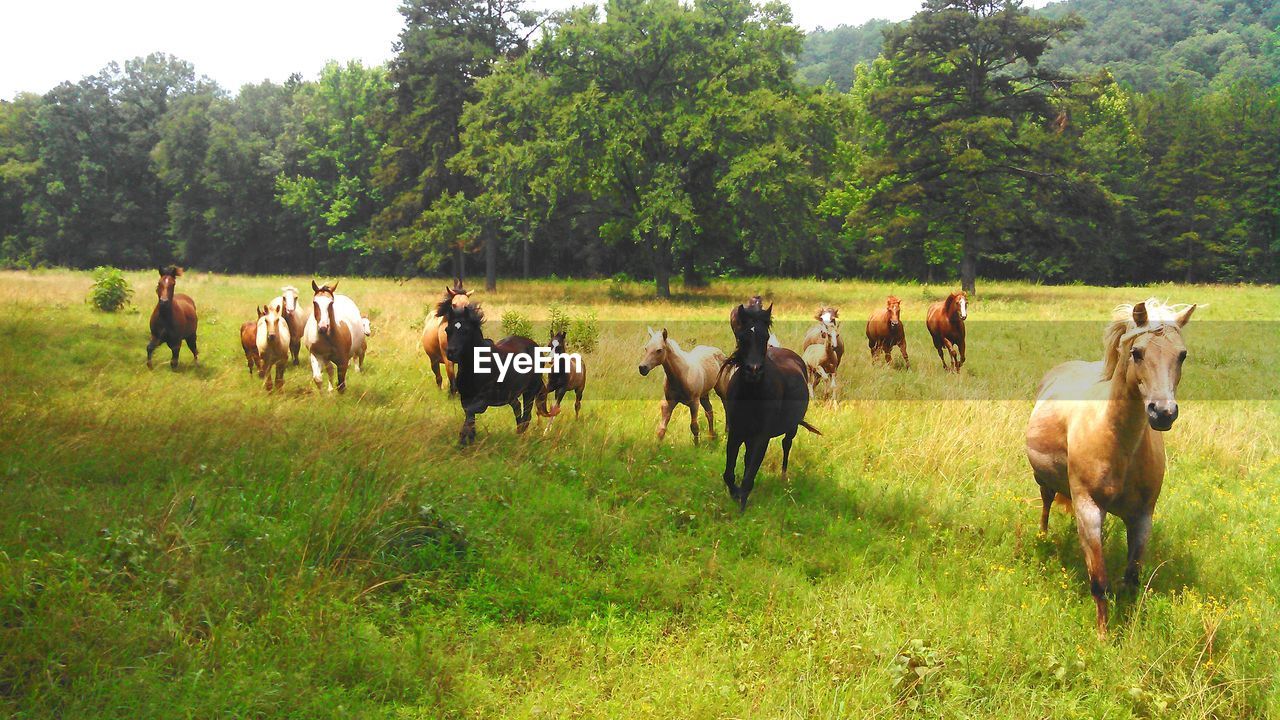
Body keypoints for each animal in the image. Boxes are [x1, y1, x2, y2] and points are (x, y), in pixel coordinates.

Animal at [437, 298, 552, 443]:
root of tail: (534, 345)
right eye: (447, 330)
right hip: (510, 394)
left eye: (466, 330)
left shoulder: (483, 399)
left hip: (529, 391)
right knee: (517, 408)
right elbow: (470, 417)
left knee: (526, 416)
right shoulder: (465, 397)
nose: (451, 353)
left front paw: (464, 438)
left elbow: (471, 413)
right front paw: (467, 439)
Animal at [721, 302, 819, 509]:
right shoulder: (736, 432)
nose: (753, 371)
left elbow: (748, 477)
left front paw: (741, 505)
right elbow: (729, 473)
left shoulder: (761, 437)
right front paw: (735, 494)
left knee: (786, 445)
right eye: (741, 337)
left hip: (791, 428)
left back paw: (783, 476)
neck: (752, 395)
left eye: (765, 337)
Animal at [1024, 297, 1192, 632]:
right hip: (1045, 482)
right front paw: (1103, 635)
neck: (1118, 443)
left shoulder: (1142, 516)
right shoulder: (1088, 509)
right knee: (1046, 503)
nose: (1163, 413)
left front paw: (1131, 624)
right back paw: (1043, 537)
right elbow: (1099, 582)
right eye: (1137, 352)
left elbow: (1132, 578)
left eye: (1182, 355)